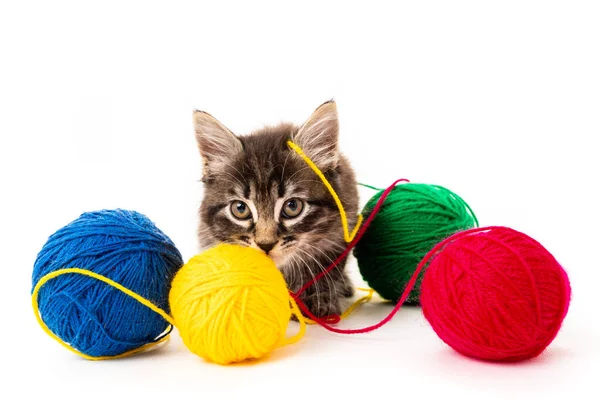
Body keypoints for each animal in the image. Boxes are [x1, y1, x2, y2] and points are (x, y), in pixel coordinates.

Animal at [195, 101, 358, 318]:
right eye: (240, 209)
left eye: (292, 206)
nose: (265, 244)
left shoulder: (340, 234)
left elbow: (325, 271)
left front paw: (316, 301)